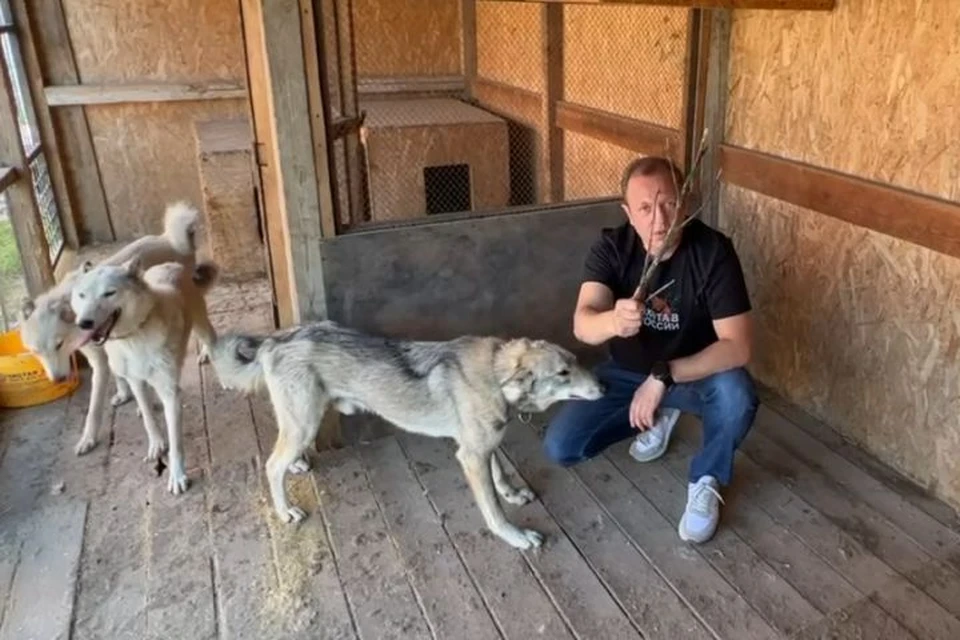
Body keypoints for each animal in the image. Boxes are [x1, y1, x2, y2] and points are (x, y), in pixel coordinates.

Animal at [19, 202, 209, 456]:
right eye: (35, 352)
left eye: (58, 345)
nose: (58, 380)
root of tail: (167, 238)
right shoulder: (108, 350)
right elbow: (123, 375)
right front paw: (125, 394)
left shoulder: (100, 361)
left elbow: (94, 408)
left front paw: (88, 438)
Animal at [70, 256, 219, 495]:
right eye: (82, 295)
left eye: (109, 293)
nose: (84, 323)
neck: (134, 336)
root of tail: (171, 264)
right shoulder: (135, 381)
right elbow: (149, 419)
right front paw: (156, 443)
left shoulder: (170, 392)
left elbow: (176, 443)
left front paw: (177, 476)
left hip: (202, 323)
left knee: (209, 338)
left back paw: (210, 355)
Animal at [209, 320, 604, 549]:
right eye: (564, 373)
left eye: (576, 363)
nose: (606, 386)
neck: (496, 375)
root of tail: (274, 340)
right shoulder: (471, 455)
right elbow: (494, 511)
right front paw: (517, 537)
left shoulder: (482, 446)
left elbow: (501, 470)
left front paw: (511, 492)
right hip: (305, 420)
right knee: (271, 465)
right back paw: (285, 510)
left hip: (300, 421)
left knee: (282, 454)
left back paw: (296, 466)